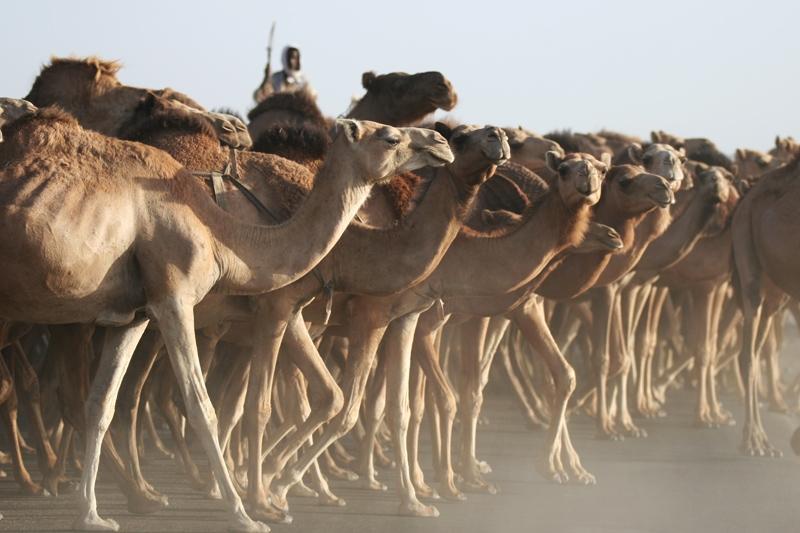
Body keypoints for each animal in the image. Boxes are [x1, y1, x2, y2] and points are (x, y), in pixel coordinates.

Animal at [0, 103, 450, 528]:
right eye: (390, 137)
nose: (439, 141)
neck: (221, 233)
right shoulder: (179, 298)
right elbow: (208, 407)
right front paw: (249, 511)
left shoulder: (133, 315)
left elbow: (102, 405)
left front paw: (90, 515)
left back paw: (131, 493)